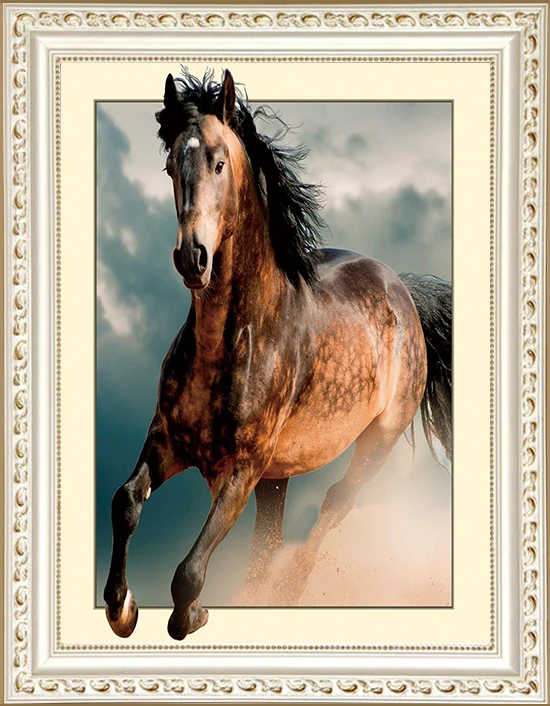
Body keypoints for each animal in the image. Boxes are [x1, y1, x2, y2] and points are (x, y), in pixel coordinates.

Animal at [103, 68, 452, 641]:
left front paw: (192, 614)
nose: (192, 257)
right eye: (171, 164)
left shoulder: (242, 469)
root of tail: (403, 290)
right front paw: (121, 608)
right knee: (268, 543)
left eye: (219, 162)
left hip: (375, 443)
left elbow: (188, 573)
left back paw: (287, 590)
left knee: (334, 505)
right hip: (278, 477)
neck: (230, 342)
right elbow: (126, 502)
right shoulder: (169, 441)